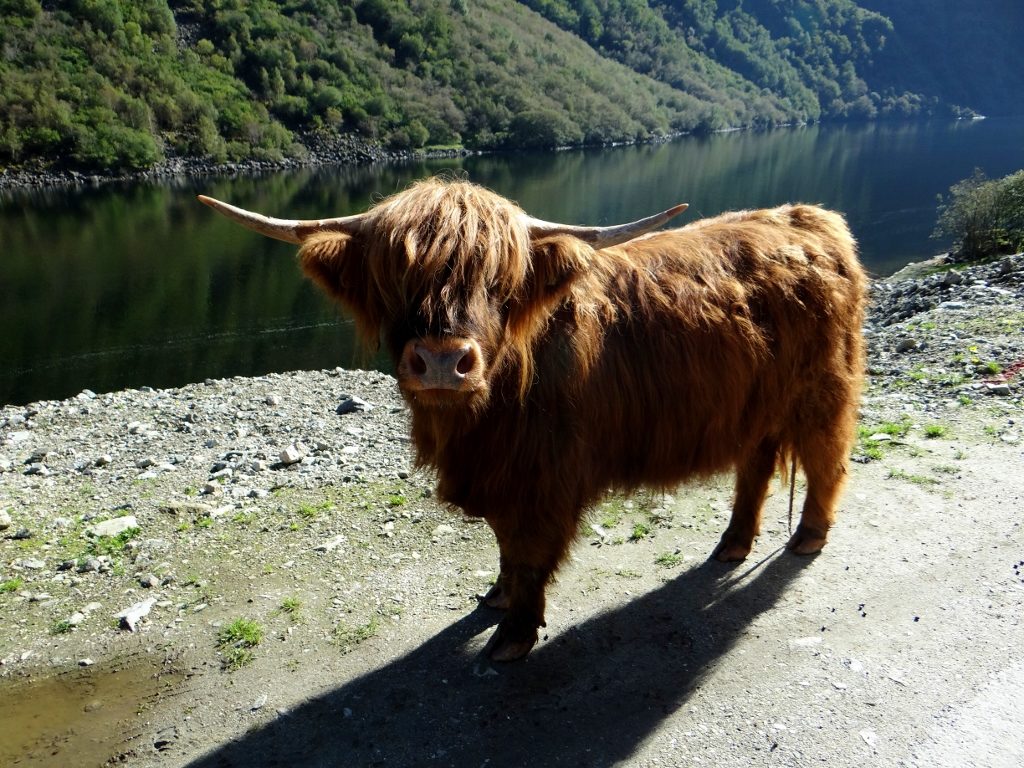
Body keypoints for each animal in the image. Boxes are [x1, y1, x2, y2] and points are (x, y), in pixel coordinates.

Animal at [199, 178, 866, 661]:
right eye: (395, 277)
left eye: (499, 282)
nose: (441, 361)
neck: (481, 420)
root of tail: (810, 218)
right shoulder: (501, 477)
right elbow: (503, 544)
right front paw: (497, 598)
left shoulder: (544, 478)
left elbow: (528, 551)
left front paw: (514, 634)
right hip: (758, 402)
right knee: (755, 465)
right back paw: (731, 545)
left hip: (821, 390)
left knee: (826, 459)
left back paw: (808, 536)